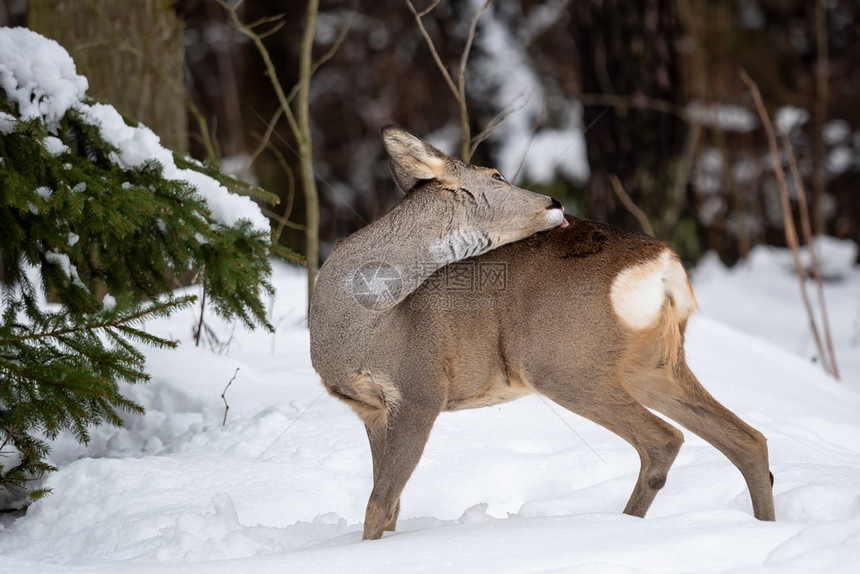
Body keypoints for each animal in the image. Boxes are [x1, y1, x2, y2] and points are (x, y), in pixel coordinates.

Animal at [308, 127, 772, 544]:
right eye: (496, 175)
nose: (555, 201)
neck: (363, 324)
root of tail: (663, 265)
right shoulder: (372, 410)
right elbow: (390, 507)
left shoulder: (421, 387)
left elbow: (379, 504)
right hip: (652, 364)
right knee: (747, 439)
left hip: (560, 362)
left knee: (665, 440)